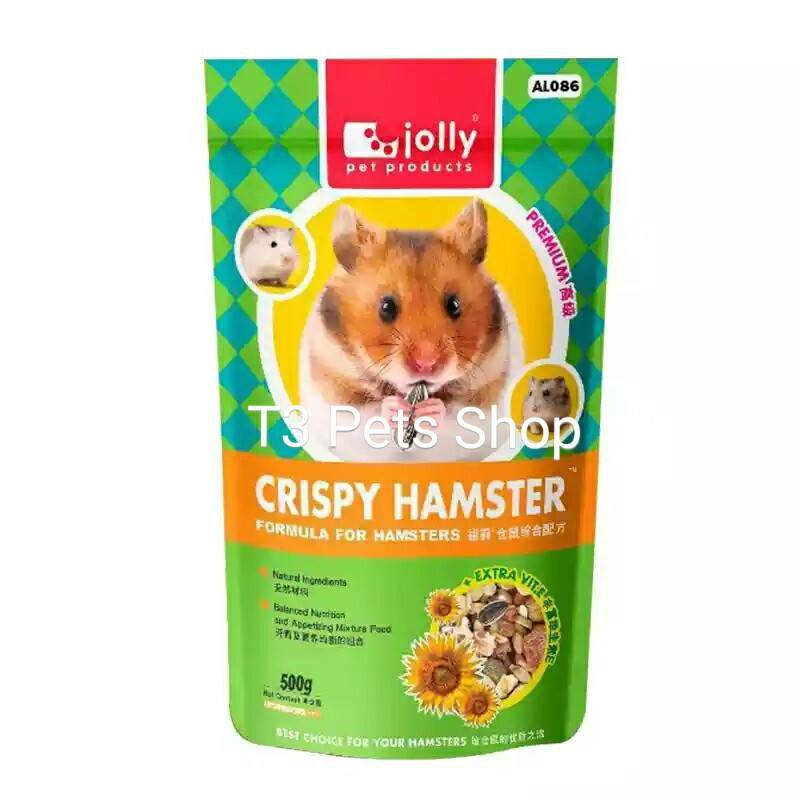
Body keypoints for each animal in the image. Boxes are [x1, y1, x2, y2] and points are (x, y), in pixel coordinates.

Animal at [301, 198, 511, 462]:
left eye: (454, 305)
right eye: (386, 307)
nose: (427, 364)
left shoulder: (486, 397)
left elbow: (457, 414)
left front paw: (430, 410)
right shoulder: (335, 393)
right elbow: (371, 412)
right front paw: (396, 408)